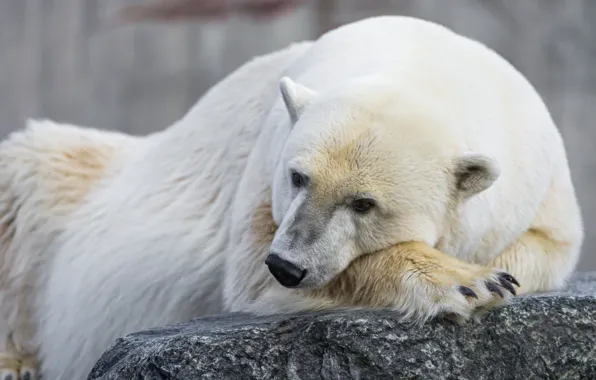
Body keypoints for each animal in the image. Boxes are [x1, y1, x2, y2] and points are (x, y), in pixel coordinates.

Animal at [0, 15, 584, 380]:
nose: (288, 265)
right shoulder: (263, 163)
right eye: (298, 176)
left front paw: (493, 274)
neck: (427, 63)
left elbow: (543, 245)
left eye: (364, 203)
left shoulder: (539, 176)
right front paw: (465, 282)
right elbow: (250, 271)